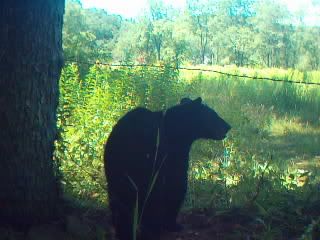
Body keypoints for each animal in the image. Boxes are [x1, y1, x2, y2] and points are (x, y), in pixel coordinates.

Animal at [104, 97, 230, 240]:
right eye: (213, 114)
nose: (228, 126)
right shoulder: (174, 157)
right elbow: (176, 187)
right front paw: (173, 225)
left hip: (116, 172)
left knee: (120, 205)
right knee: (152, 199)